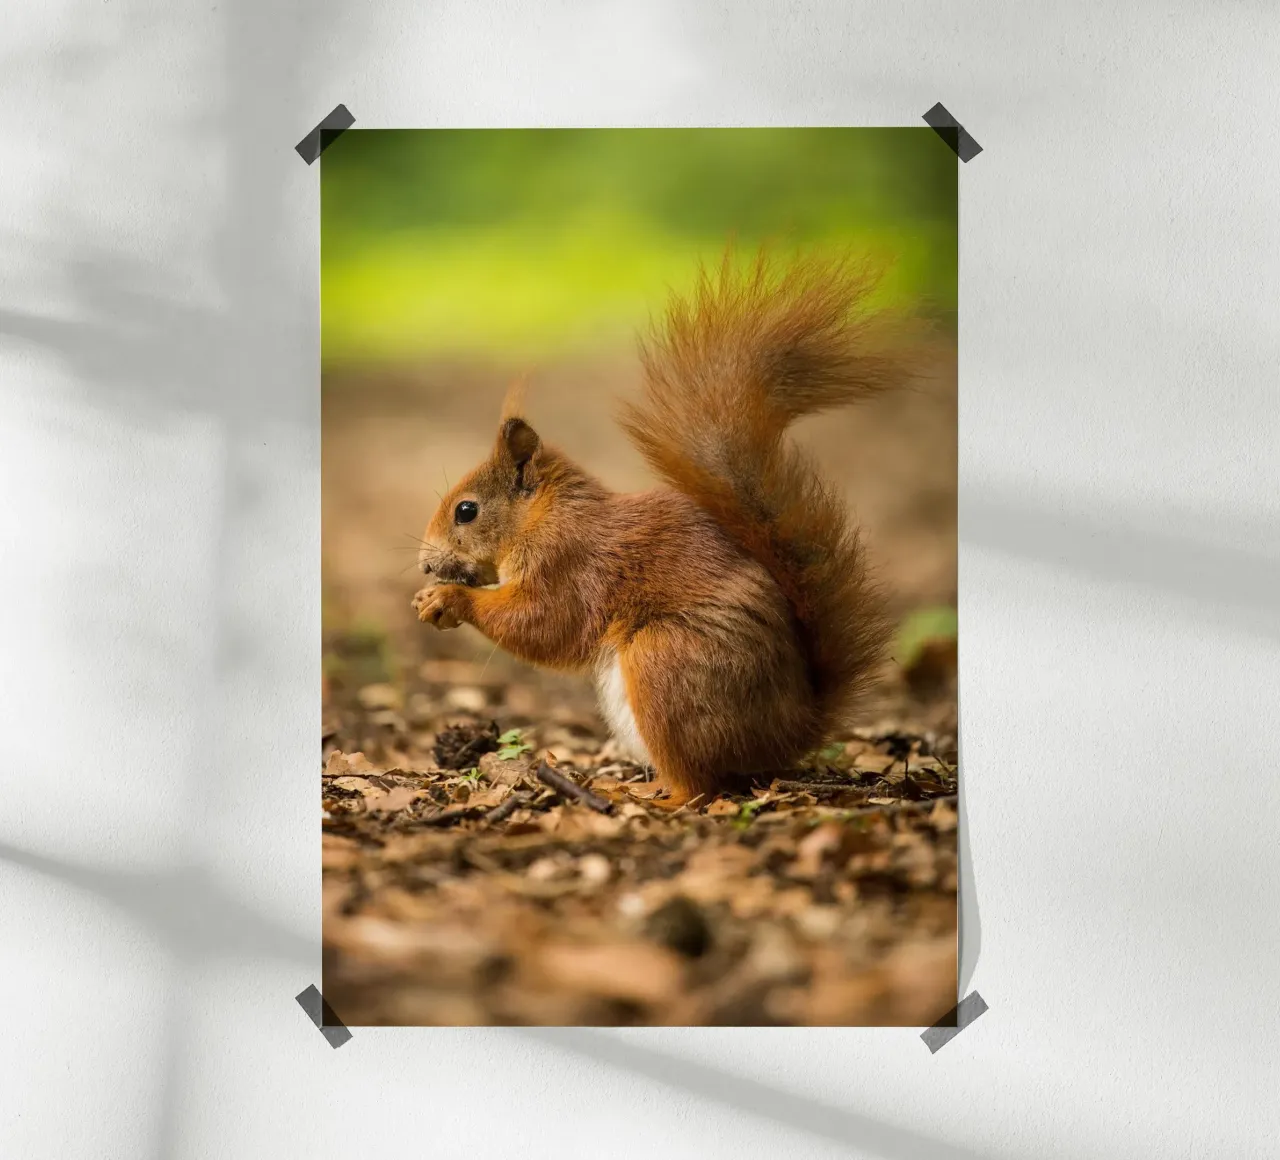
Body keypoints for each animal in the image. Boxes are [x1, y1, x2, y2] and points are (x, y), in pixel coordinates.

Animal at [412, 249, 924, 810]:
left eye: (466, 511)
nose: (425, 563)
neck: (545, 516)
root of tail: (789, 733)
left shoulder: (571, 562)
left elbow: (544, 623)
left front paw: (449, 599)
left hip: (666, 663)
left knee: (699, 786)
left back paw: (646, 794)